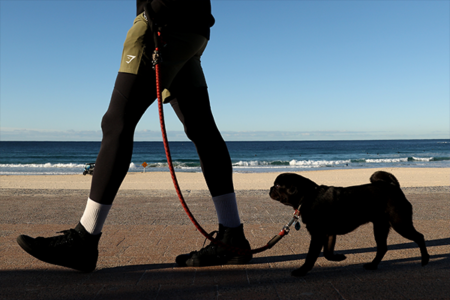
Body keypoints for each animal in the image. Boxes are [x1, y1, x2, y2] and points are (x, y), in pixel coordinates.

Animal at [268, 171, 430, 276]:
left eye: (277, 186)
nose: (270, 188)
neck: (308, 196)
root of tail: (394, 187)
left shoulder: (318, 234)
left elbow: (311, 256)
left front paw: (302, 271)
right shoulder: (328, 234)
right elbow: (327, 253)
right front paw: (339, 258)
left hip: (400, 223)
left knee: (419, 237)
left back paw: (425, 260)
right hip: (380, 227)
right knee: (382, 248)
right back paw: (373, 265)